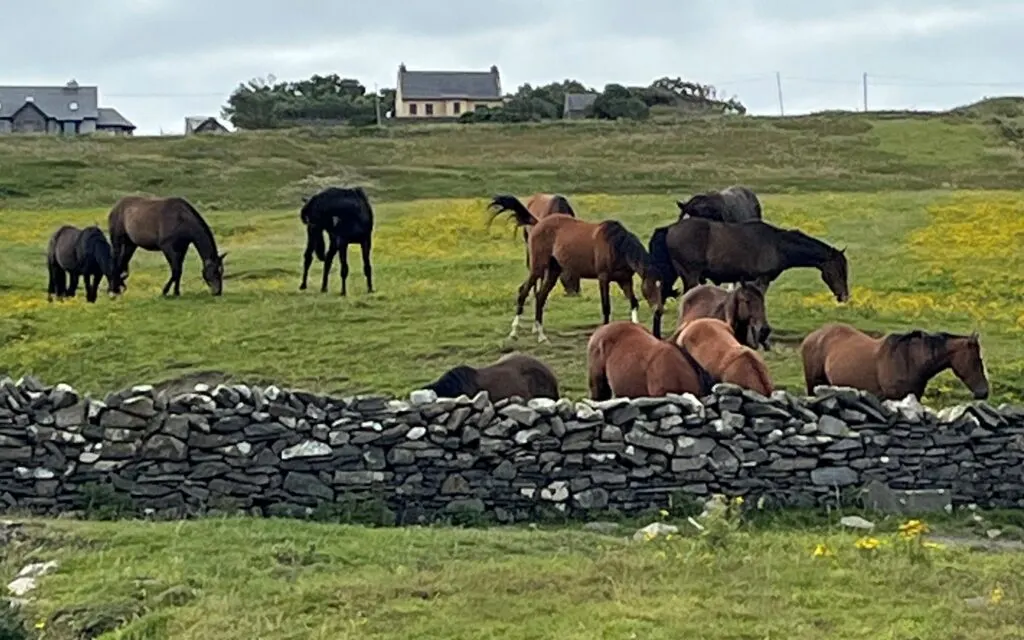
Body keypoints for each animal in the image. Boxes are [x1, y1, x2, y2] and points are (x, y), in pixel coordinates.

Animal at [491, 204, 667, 344]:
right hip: (537, 268)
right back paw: (514, 333)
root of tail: (539, 223)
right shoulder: (603, 278)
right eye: (651, 285)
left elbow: (633, 302)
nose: (659, 310)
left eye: (662, 285)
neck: (616, 246)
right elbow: (606, 307)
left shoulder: (625, 280)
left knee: (540, 297)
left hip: (553, 271)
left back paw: (542, 336)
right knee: (524, 291)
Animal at [647, 216, 847, 337]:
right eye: (839, 269)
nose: (844, 296)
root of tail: (669, 229)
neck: (776, 244)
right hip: (690, 276)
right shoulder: (762, 279)